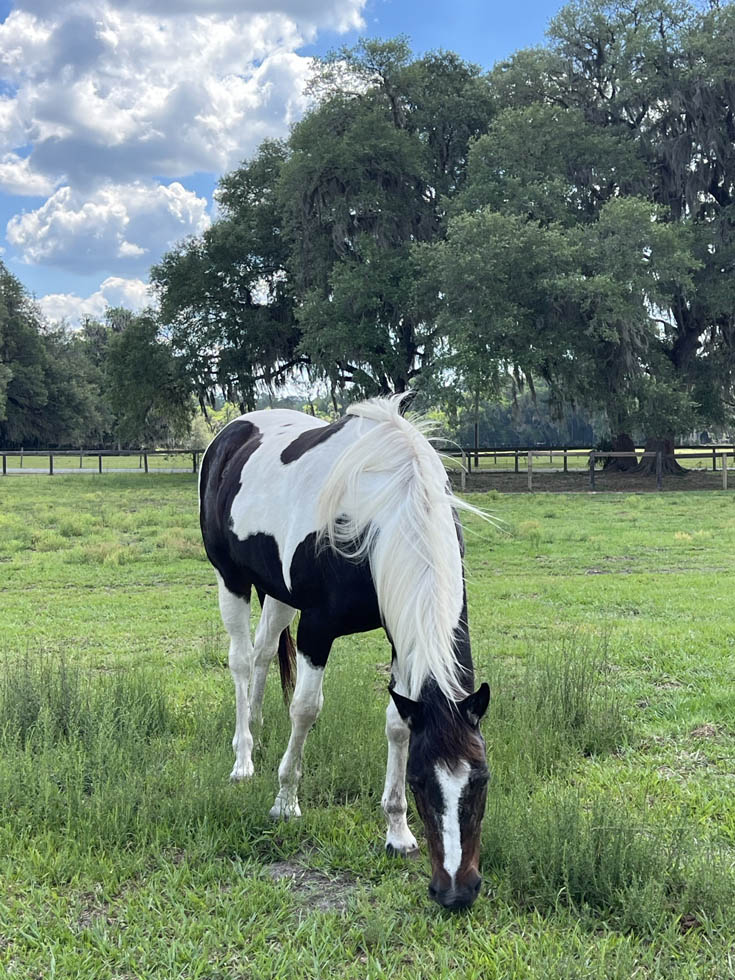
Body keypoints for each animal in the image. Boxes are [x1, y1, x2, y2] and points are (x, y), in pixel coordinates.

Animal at [198, 395, 490, 910]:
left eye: (481, 780)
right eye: (420, 781)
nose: (457, 891)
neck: (384, 510)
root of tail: (232, 431)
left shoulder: (399, 635)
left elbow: (397, 724)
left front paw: (397, 832)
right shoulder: (317, 628)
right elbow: (305, 709)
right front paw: (285, 801)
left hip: (278, 594)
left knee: (260, 654)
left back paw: (256, 727)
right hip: (230, 579)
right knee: (239, 661)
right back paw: (243, 760)